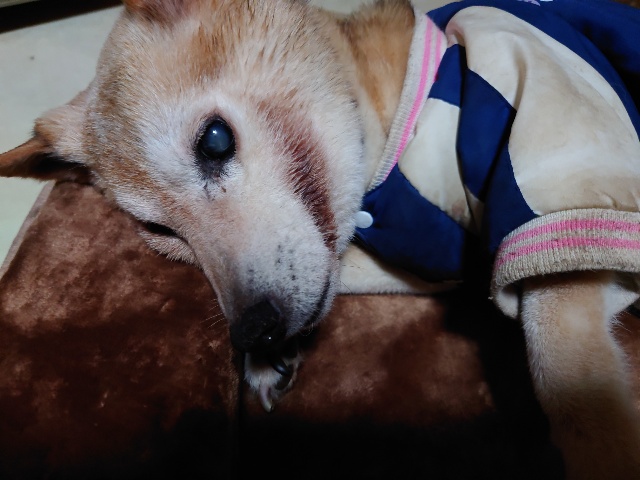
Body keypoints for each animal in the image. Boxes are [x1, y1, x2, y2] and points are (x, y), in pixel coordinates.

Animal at [1, 0, 640, 477]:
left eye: (214, 141)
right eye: (159, 231)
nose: (252, 330)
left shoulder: (552, 171)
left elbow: (575, 390)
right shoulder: (435, 261)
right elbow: (343, 269)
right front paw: (268, 357)